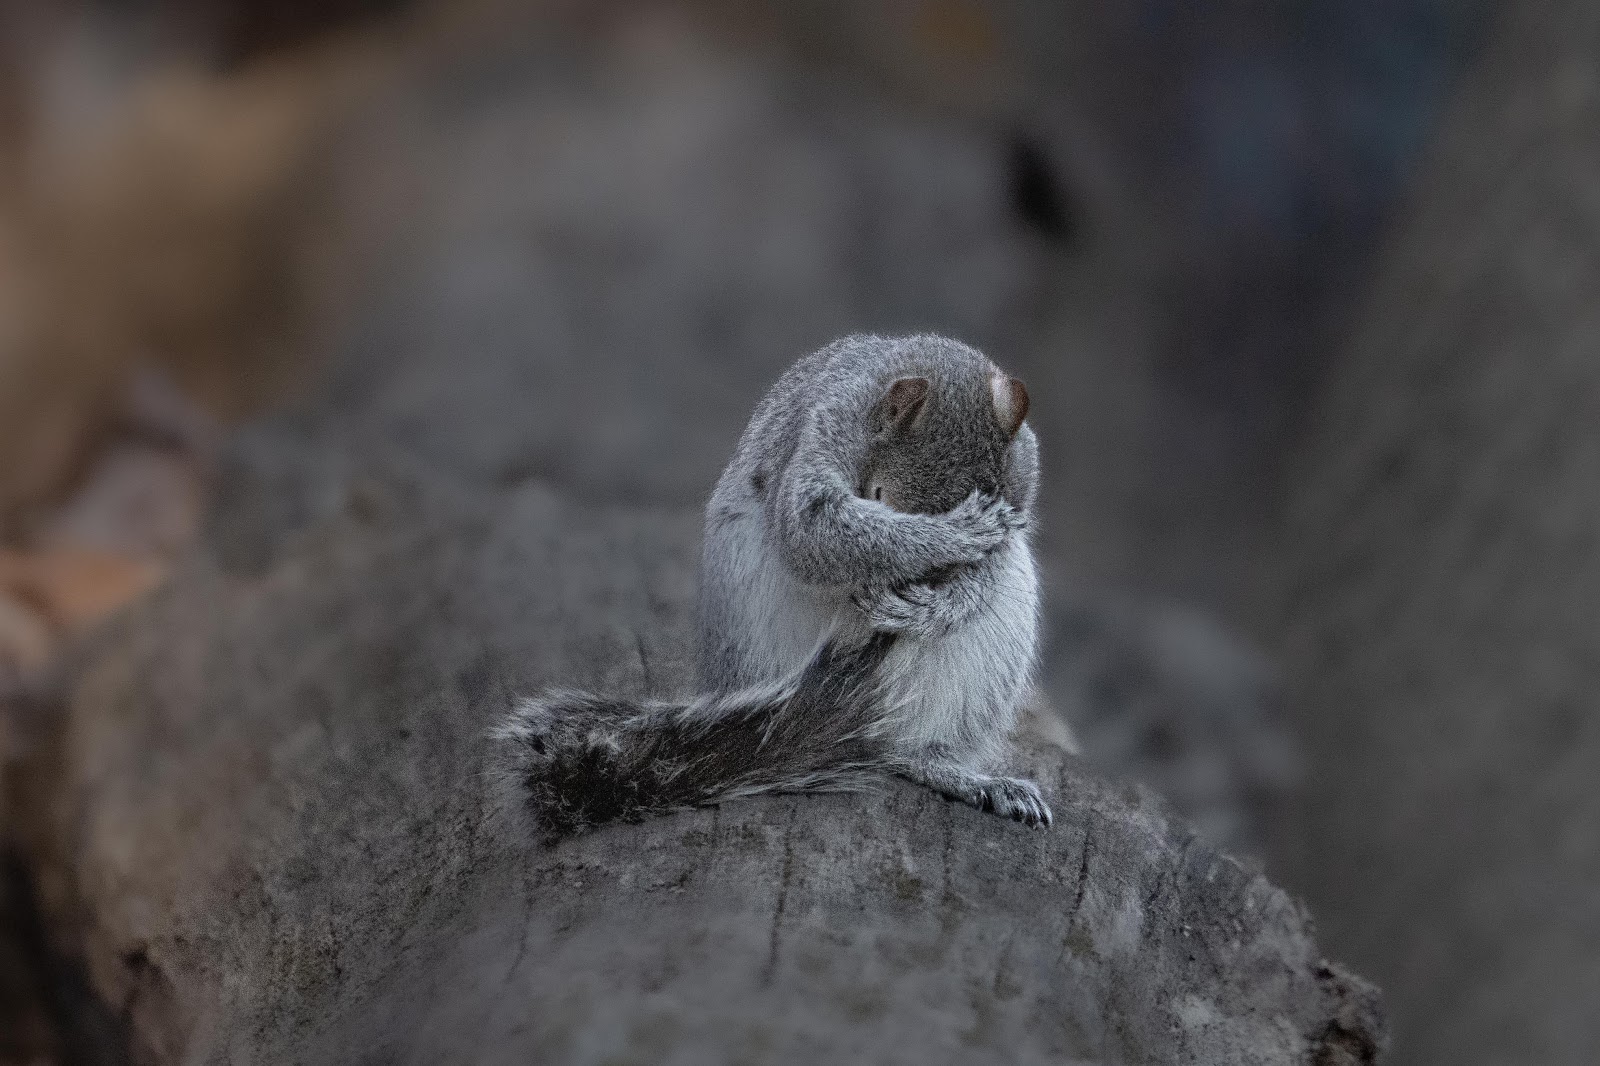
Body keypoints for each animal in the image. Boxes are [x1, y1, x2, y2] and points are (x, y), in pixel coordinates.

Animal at [495, 334, 1049, 838]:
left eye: (1008, 498)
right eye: (876, 495)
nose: (922, 588)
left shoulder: (1025, 485)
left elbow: (995, 562)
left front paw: (944, 601)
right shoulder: (823, 425)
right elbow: (813, 527)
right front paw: (958, 531)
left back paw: (965, 774)